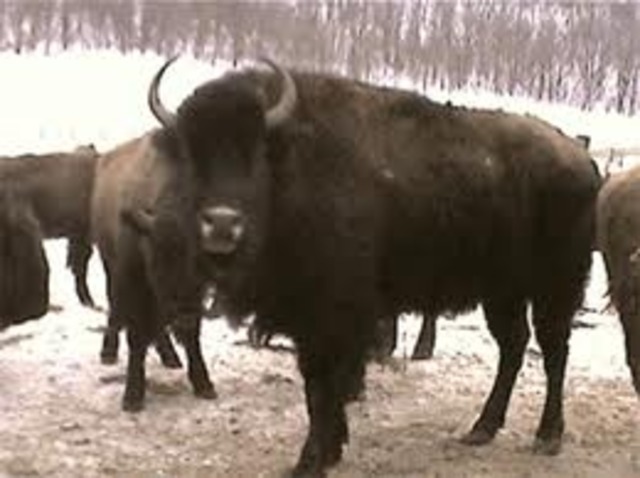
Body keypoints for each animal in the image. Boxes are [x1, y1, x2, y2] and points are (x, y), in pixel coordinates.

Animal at [143, 58, 599, 477]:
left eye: (255, 152)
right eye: (192, 154)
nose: (222, 225)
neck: (295, 162)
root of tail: (582, 160)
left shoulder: (331, 320)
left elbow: (324, 389)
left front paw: (310, 461)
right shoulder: (312, 323)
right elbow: (317, 389)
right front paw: (329, 450)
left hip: (555, 287)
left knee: (554, 351)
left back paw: (547, 436)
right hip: (502, 292)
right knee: (514, 346)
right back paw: (481, 429)